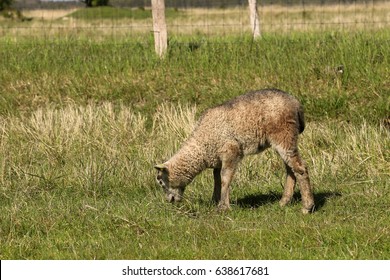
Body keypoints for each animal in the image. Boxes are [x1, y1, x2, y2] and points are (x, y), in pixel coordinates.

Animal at [154, 88, 316, 213]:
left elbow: (225, 178)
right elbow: (217, 179)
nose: (170, 200)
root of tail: (295, 103)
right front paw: (215, 200)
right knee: (290, 170)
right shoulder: (217, 158)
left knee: (300, 168)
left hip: (284, 134)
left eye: (161, 182)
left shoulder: (231, 151)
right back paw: (284, 202)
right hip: (284, 140)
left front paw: (223, 207)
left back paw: (307, 207)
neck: (201, 147)